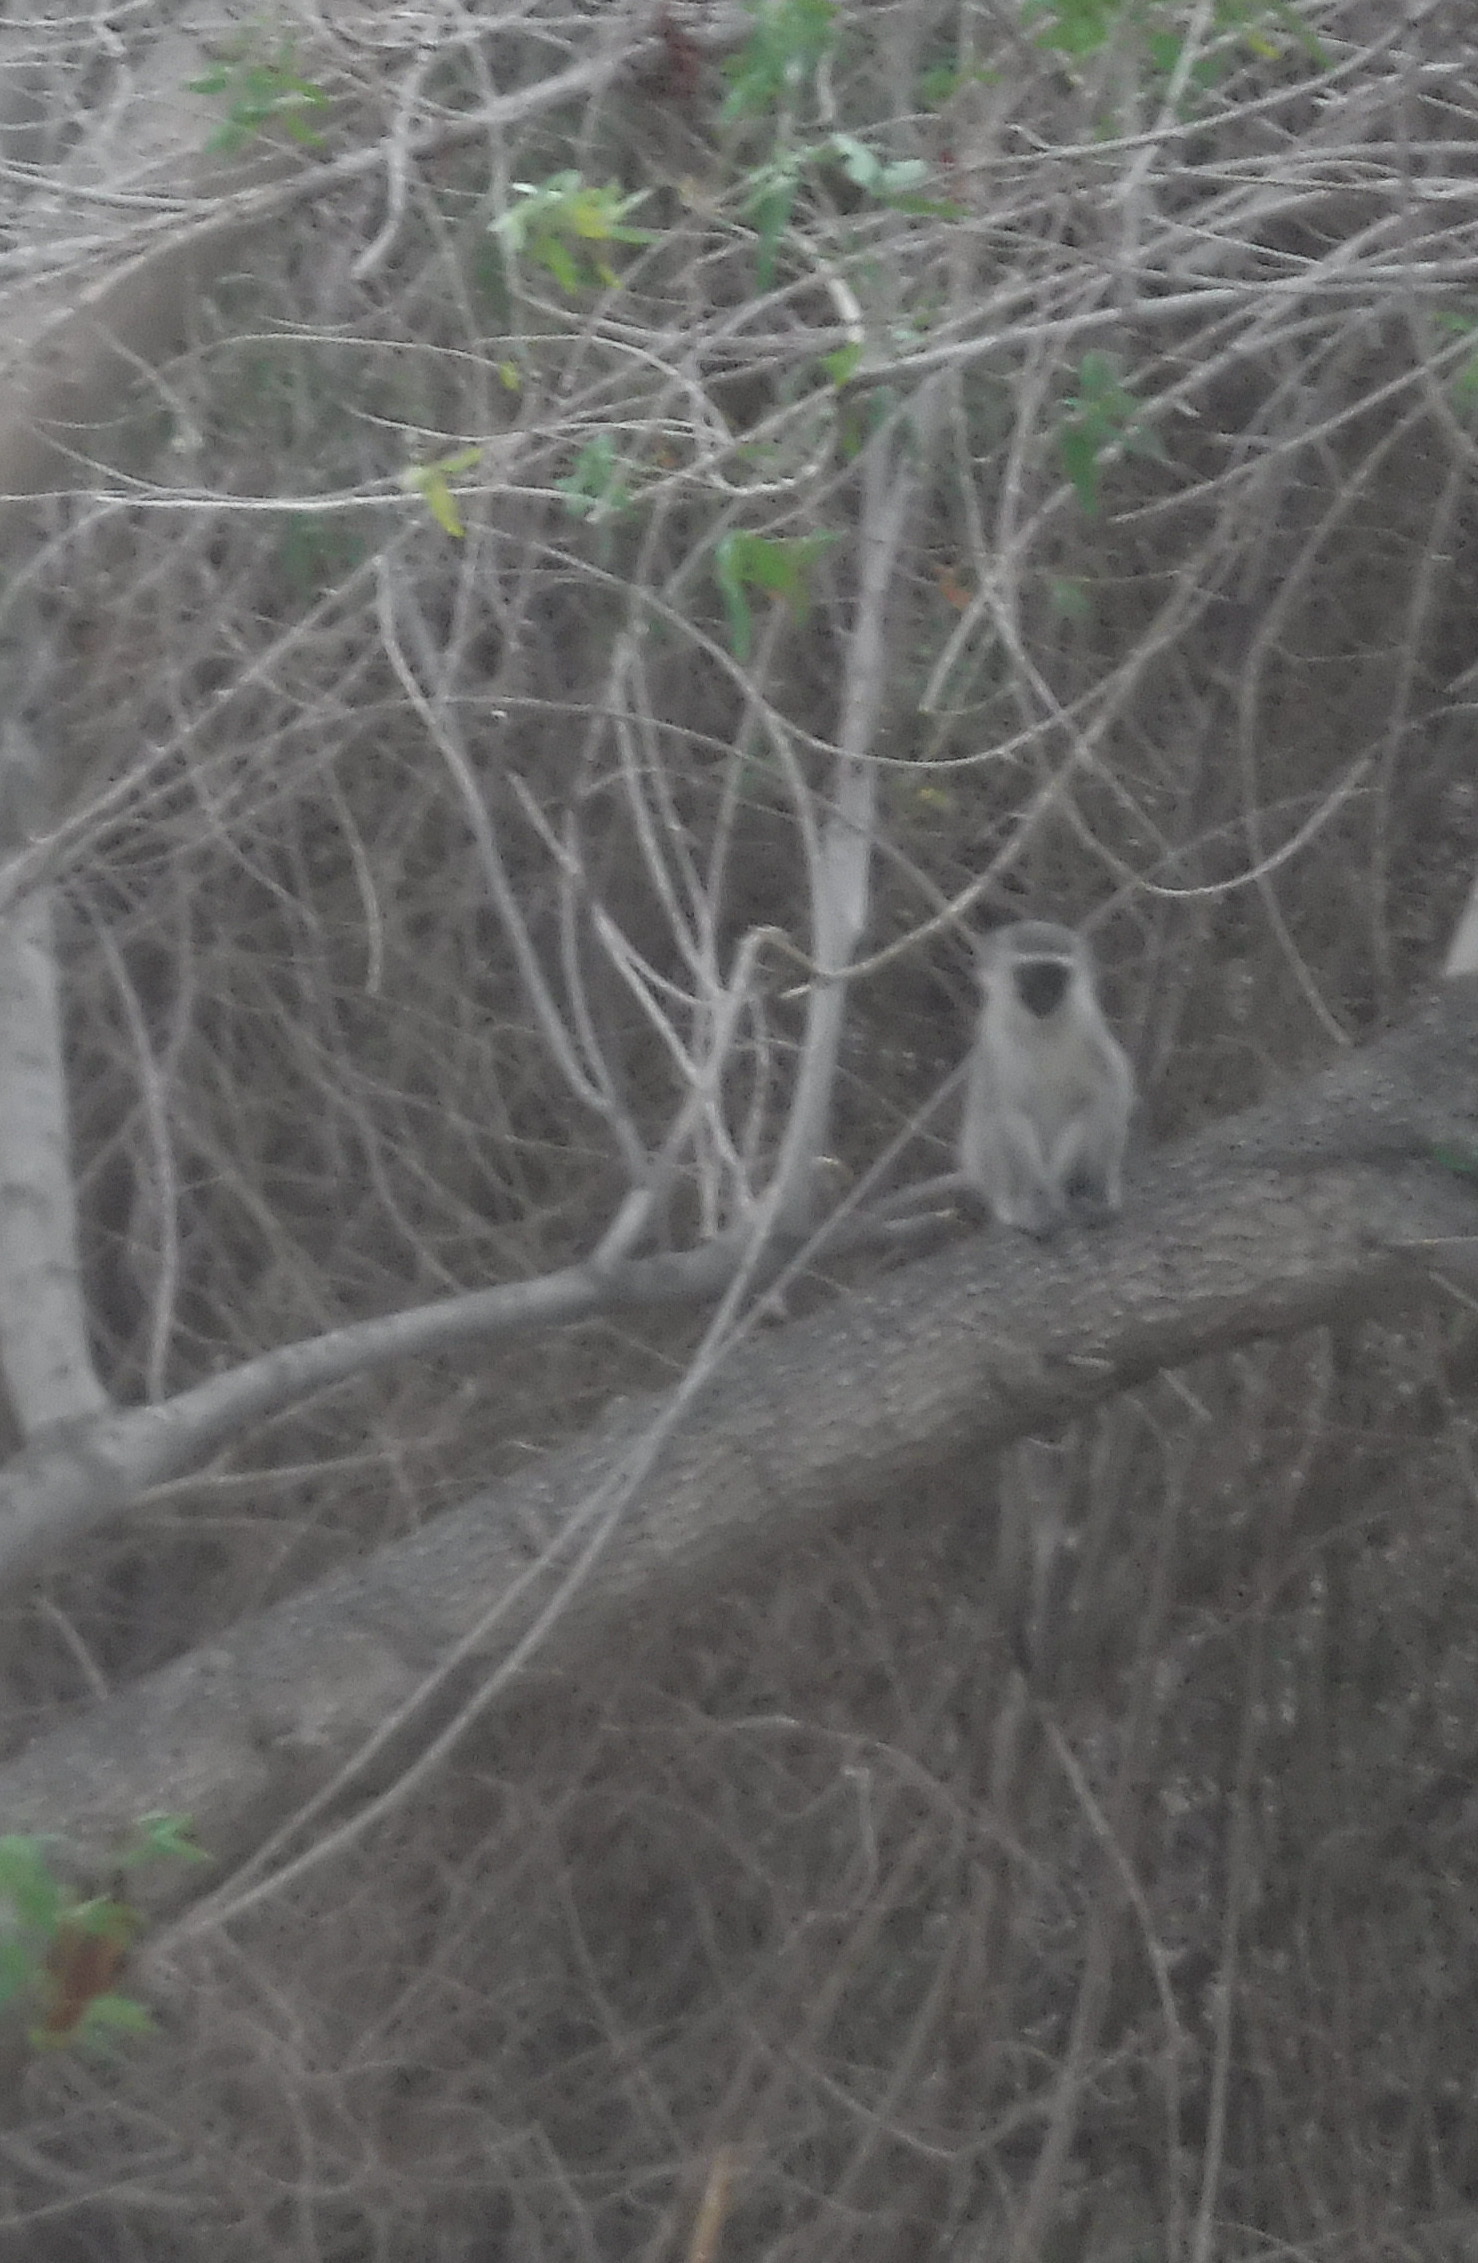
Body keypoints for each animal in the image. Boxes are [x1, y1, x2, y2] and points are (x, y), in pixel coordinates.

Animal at [955, 918, 1131, 1240]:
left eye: (1055, 976)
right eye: (1029, 974)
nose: (1044, 996)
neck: (1041, 1032)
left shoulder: (1088, 1027)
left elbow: (1110, 1089)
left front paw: (1099, 1188)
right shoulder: (994, 1043)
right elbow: (1006, 1110)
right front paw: (1035, 1198)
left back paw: (1075, 1190)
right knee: (991, 1122)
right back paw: (1021, 1205)